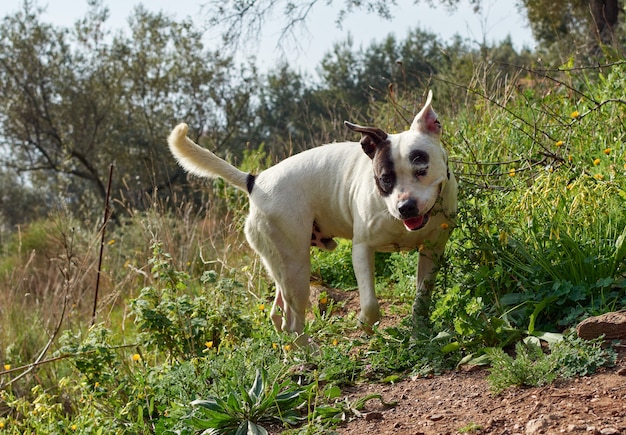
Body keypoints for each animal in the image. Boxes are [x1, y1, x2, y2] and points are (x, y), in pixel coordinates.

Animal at [168, 90, 456, 346]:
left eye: (422, 168)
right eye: (385, 179)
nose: (405, 207)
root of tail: (255, 181)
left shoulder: (432, 251)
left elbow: (421, 299)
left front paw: (418, 333)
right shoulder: (362, 250)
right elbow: (371, 304)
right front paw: (365, 325)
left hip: (284, 267)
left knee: (278, 314)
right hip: (296, 268)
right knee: (292, 321)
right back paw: (312, 353)